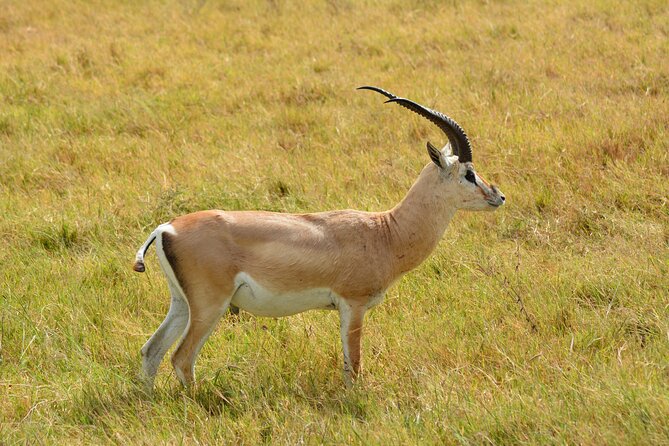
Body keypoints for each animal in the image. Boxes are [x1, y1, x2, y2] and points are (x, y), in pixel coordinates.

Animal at [134, 86, 505, 389]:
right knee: (181, 358)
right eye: (469, 173)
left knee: (151, 351)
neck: (386, 233)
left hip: (182, 304)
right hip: (210, 306)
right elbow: (353, 366)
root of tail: (166, 228)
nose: (498, 196)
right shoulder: (353, 304)